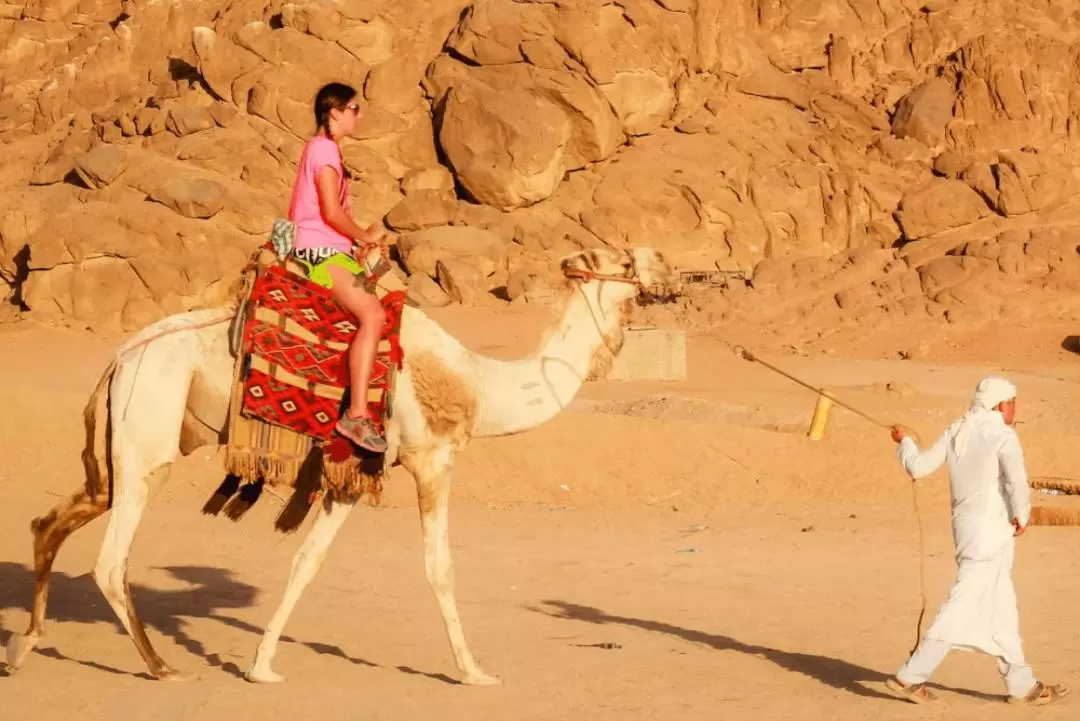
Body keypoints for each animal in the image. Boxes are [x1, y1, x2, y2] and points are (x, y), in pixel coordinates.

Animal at [2, 248, 673, 686]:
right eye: (618, 257)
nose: (665, 266)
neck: (477, 385)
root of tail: (119, 355)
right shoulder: (432, 460)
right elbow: (440, 568)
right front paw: (475, 670)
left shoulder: (353, 476)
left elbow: (307, 561)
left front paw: (261, 665)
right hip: (149, 436)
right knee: (111, 561)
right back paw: (162, 666)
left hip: (119, 447)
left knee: (54, 521)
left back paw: (24, 646)